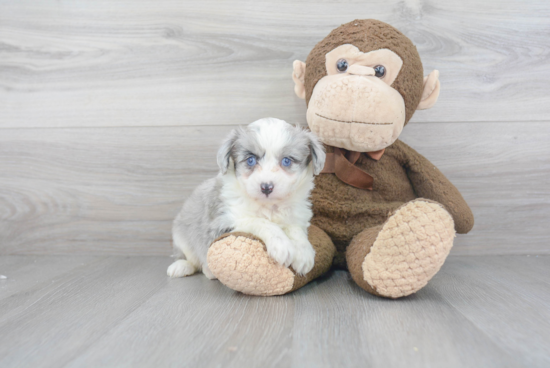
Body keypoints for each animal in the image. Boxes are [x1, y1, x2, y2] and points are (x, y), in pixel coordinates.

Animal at [166, 118, 326, 278]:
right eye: (251, 160)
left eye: (286, 161)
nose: (266, 187)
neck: (269, 206)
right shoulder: (223, 222)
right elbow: (260, 221)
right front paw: (281, 244)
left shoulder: (297, 218)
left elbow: (295, 230)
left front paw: (303, 253)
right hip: (181, 236)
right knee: (191, 258)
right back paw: (185, 267)